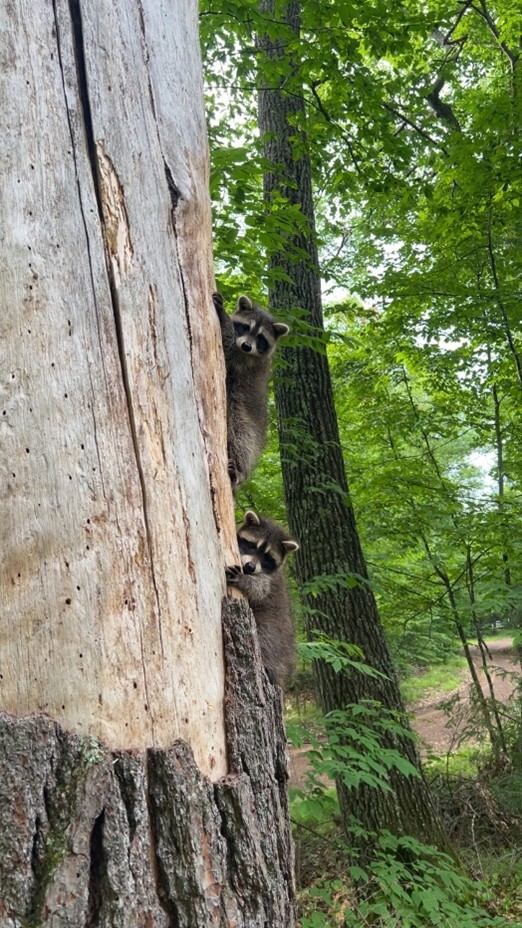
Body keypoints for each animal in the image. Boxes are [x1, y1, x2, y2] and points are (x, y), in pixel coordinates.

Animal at [213, 292, 289, 489]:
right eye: (245, 327)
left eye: (261, 338)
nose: (247, 346)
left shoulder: (246, 362)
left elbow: (228, 346)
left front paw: (223, 315)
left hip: (244, 418)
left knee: (241, 437)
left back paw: (240, 471)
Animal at [226, 511, 299, 688]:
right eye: (252, 546)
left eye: (267, 557)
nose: (250, 567)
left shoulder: (269, 581)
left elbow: (259, 589)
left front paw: (245, 580)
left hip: (273, 631)